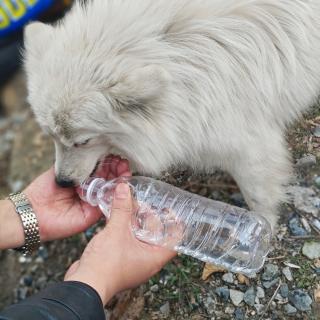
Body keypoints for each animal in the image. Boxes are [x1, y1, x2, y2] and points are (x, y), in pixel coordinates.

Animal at [23, 0, 320, 230]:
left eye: (82, 142)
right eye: (50, 137)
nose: (61, 183)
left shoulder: (250, 147)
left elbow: (259, 196)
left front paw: (261, 229)